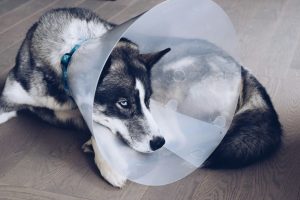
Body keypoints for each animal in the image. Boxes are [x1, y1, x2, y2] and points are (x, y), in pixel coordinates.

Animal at [0, 7, 282, 186]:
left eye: (146, 101)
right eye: (123, 103)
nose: (158, 143)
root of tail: (243, 70)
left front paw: (109, 164)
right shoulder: (9, 98)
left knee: (190, 136)